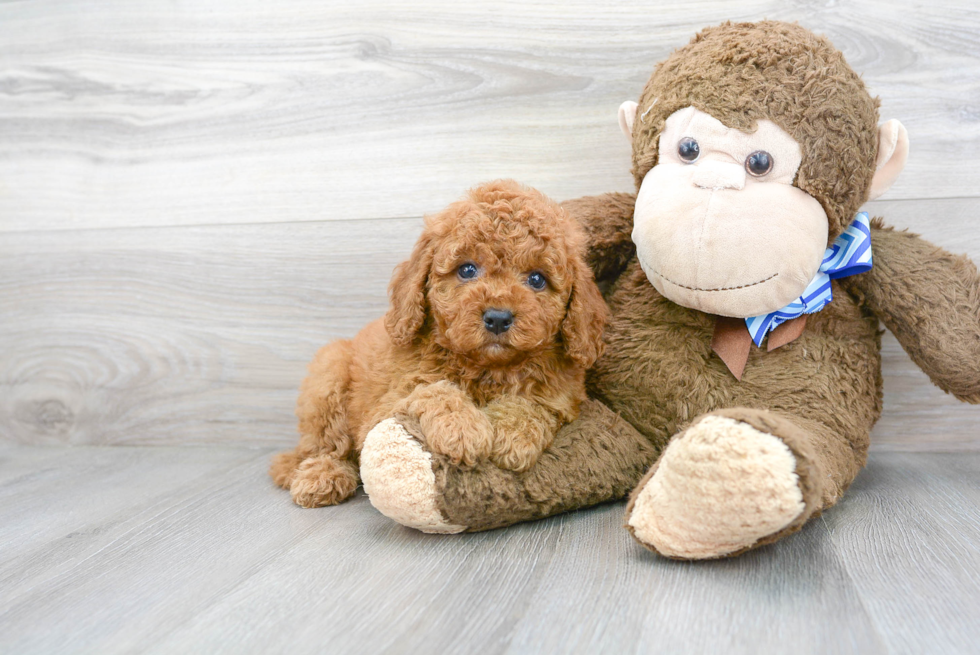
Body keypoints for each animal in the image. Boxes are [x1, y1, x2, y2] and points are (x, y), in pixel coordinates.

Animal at [268, 179, 604, 508]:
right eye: (467, 269)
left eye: (537, 279)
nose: (498, 318)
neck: (487, 369)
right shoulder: (380, 412)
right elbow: (430, 390)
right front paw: (462, 428)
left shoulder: (562, 396)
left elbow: (533, 401)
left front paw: (513, 434)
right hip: (329, 372)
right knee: (326, 446)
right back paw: (321, 475)